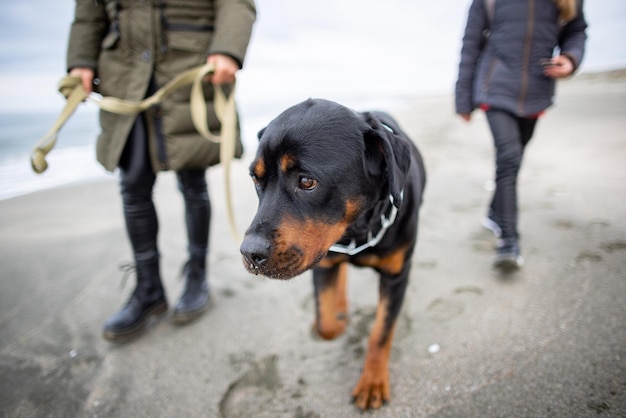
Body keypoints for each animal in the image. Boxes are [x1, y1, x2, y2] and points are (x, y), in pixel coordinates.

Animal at [238, 99, 424, 412]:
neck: (358, 229)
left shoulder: (396, 275)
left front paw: (372, 382)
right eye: (255, 178)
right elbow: (325, 325)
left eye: (307, 182)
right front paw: (338, 322)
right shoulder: (323, 262)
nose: (250, 252)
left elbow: (381, 332)